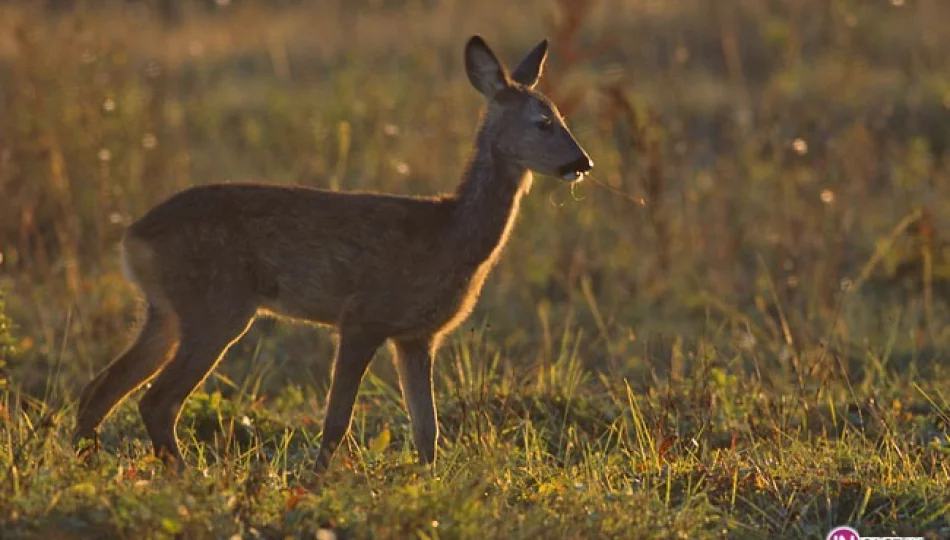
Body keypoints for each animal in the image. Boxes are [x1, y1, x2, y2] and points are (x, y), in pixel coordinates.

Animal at [74, 34, 592, 472]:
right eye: (543, 122)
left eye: (563, 118)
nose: (582, 162)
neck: (451, 234)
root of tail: (133, 239)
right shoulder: (363, 317)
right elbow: (337, 421)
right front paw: (317, 482)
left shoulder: (417, 336)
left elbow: (427, 429)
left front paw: (429, 485)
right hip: (215, 307)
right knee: (155, 400)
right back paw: (187, 477)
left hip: (166, 311)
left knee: (99, 389)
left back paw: (89, 465)